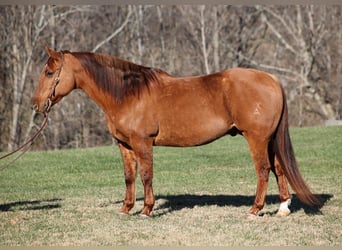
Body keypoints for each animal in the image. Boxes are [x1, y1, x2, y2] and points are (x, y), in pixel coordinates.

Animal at [32, 46, 320, 218]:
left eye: (49, 72)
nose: (35, 105)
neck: (127, 94)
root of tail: (271, 79)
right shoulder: (125, 146)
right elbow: (129, 177)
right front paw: (126, 209)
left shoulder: (142, 143)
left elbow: (146, 176)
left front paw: (146, 210)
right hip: (269, 140)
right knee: (279, 168)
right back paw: (282, 208)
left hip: (257, 139)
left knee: (263, 170)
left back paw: (254, 210)